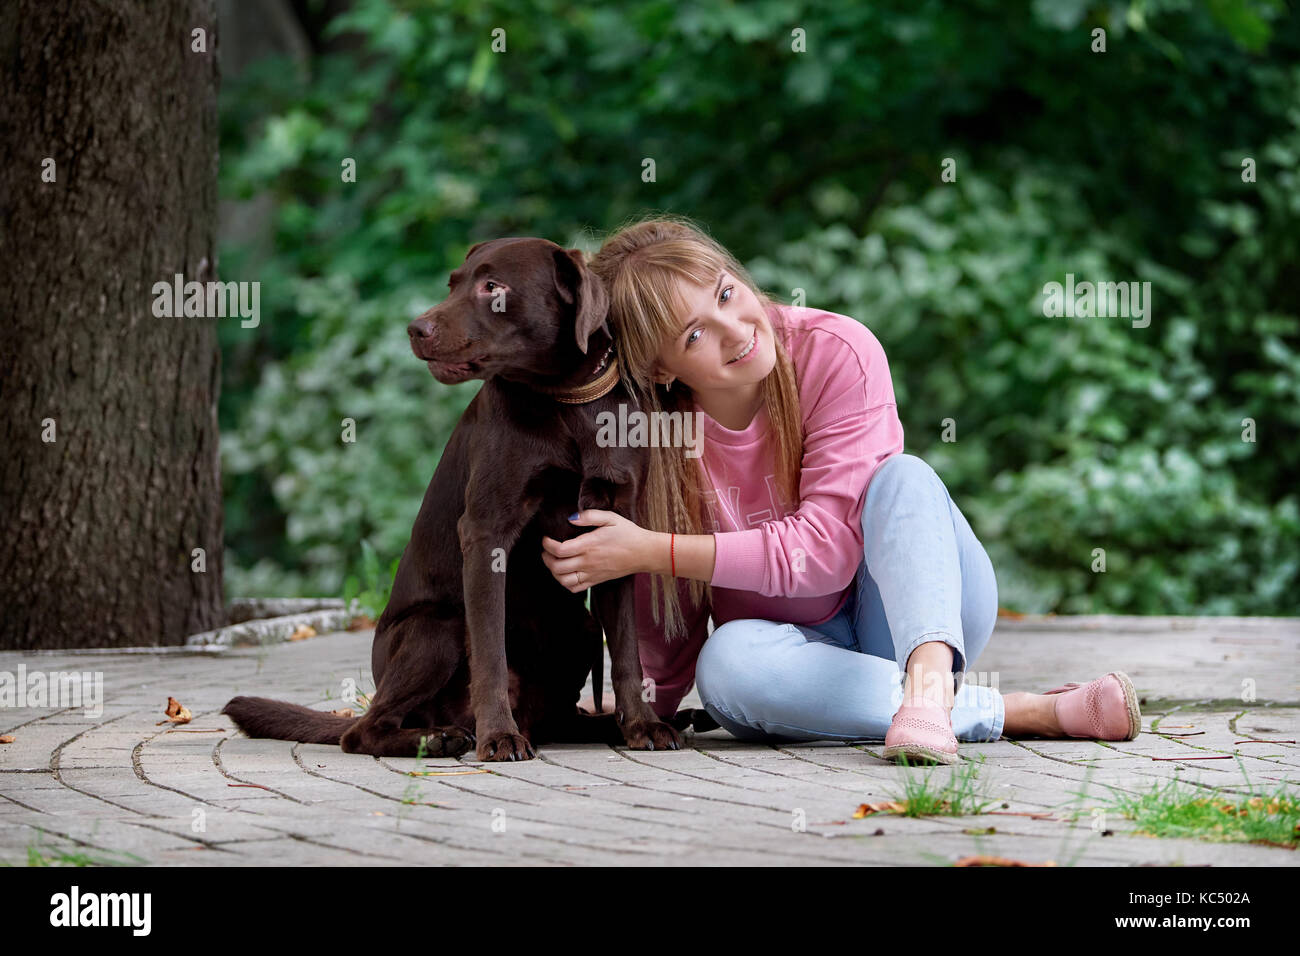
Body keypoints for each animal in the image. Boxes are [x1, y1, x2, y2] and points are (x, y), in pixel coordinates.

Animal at [223, 238, 691, 764]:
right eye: (452, 284)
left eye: (493, 287)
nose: (415, 328)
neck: (567, 400)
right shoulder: (487, 532)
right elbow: (489, 652)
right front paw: (499, 737)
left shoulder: (613, 528)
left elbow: (628, 652)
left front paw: (644, 725)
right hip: (439, 626)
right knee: (363, 730)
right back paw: (441, 737)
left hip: (581, 629)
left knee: (566, 713)